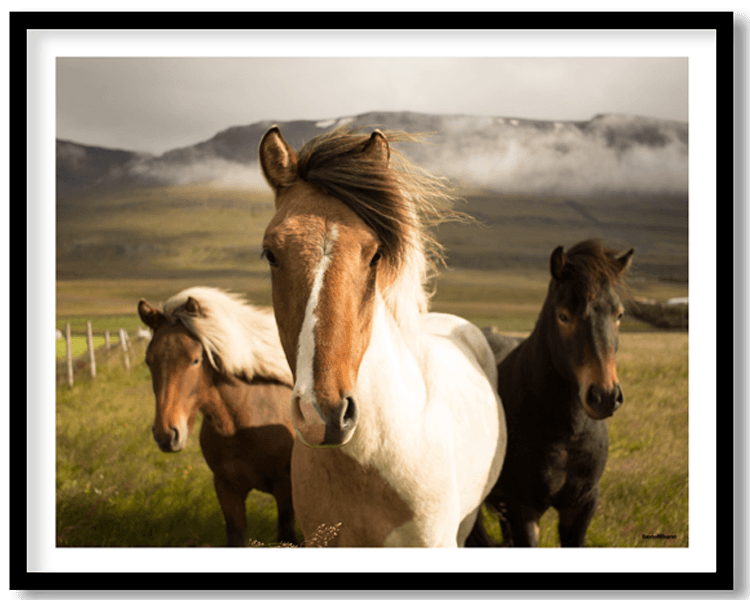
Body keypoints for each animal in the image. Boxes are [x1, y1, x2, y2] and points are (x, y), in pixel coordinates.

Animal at [137, 287, 297, 546]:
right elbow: (236, 537)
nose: (166, 434)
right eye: (148, 360)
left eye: (195, 359)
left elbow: (288, 535)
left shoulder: (285, 489)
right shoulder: (226, 489)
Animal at [481, 240, 633, 547]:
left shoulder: (582, 506)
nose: (605, 396)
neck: (567, 433)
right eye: (564, 316)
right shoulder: (523, 510)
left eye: (619, 315)